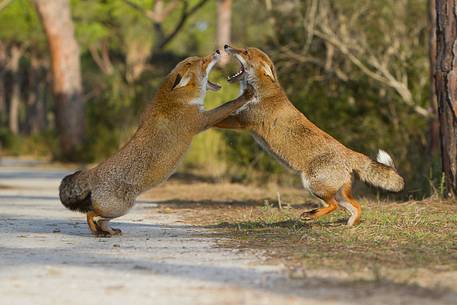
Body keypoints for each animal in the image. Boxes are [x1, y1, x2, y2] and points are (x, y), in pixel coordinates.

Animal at [217, 45, 402, 226]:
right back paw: (349, 225)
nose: (225, 46)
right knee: (355, 206)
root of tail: (348, 152)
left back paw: (310, 215)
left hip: (312, 184)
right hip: (337, 193)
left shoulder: (241, 120)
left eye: (245, 52)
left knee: (333, 205)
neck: (261, 92)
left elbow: (215, 119)